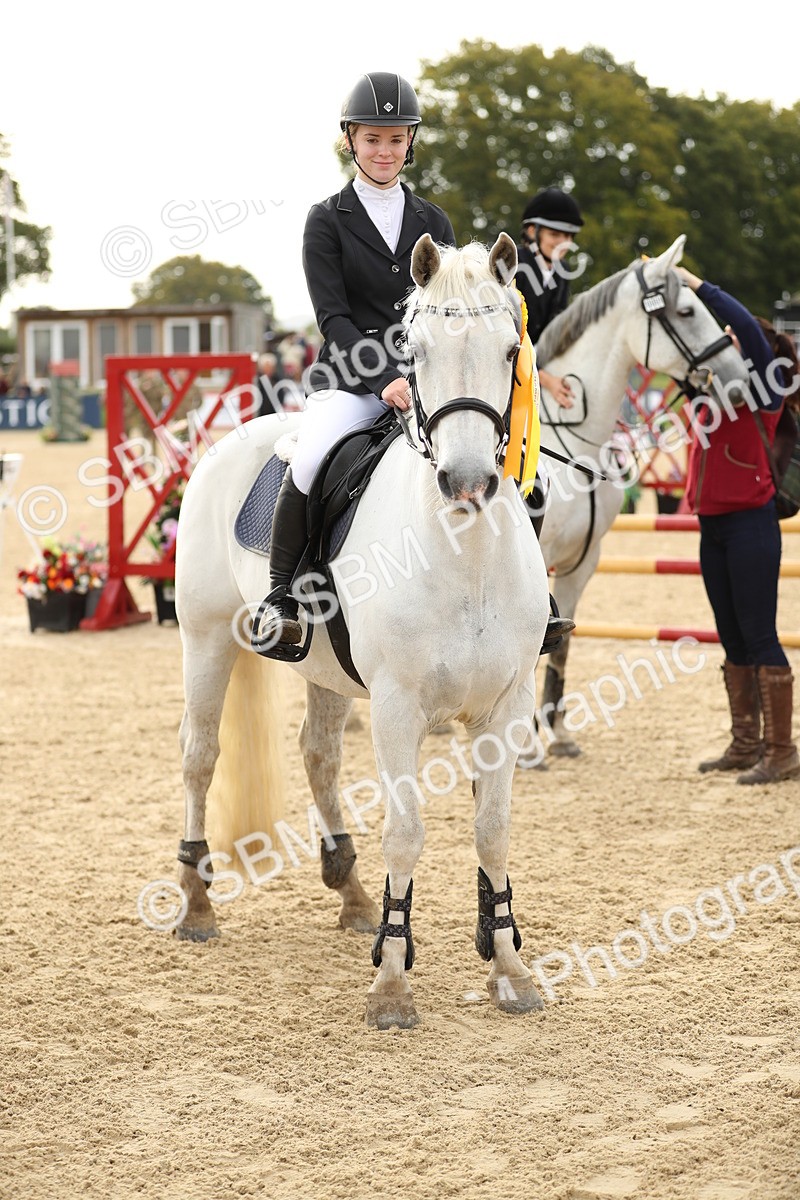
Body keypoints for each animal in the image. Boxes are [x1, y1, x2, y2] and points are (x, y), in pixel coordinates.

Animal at [172, 233, 551, 1029]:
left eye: (510, 350)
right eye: (415, 349)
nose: (468, 482)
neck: (465, 554)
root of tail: (230, 439)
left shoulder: (505, 707)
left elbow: (493, 831)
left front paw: (509, 968)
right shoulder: (399, 707)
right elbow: (405, 833)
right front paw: (392, 983)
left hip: (322, 670)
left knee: (317, 755)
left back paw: (348, 890)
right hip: (207, 637)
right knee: (199, 754)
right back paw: (196, 902)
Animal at [530, 235, 750, 759]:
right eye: (687, 311)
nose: (737, 378)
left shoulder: (583, 562)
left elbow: (561, 645)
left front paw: (559, 736)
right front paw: (525, 749)